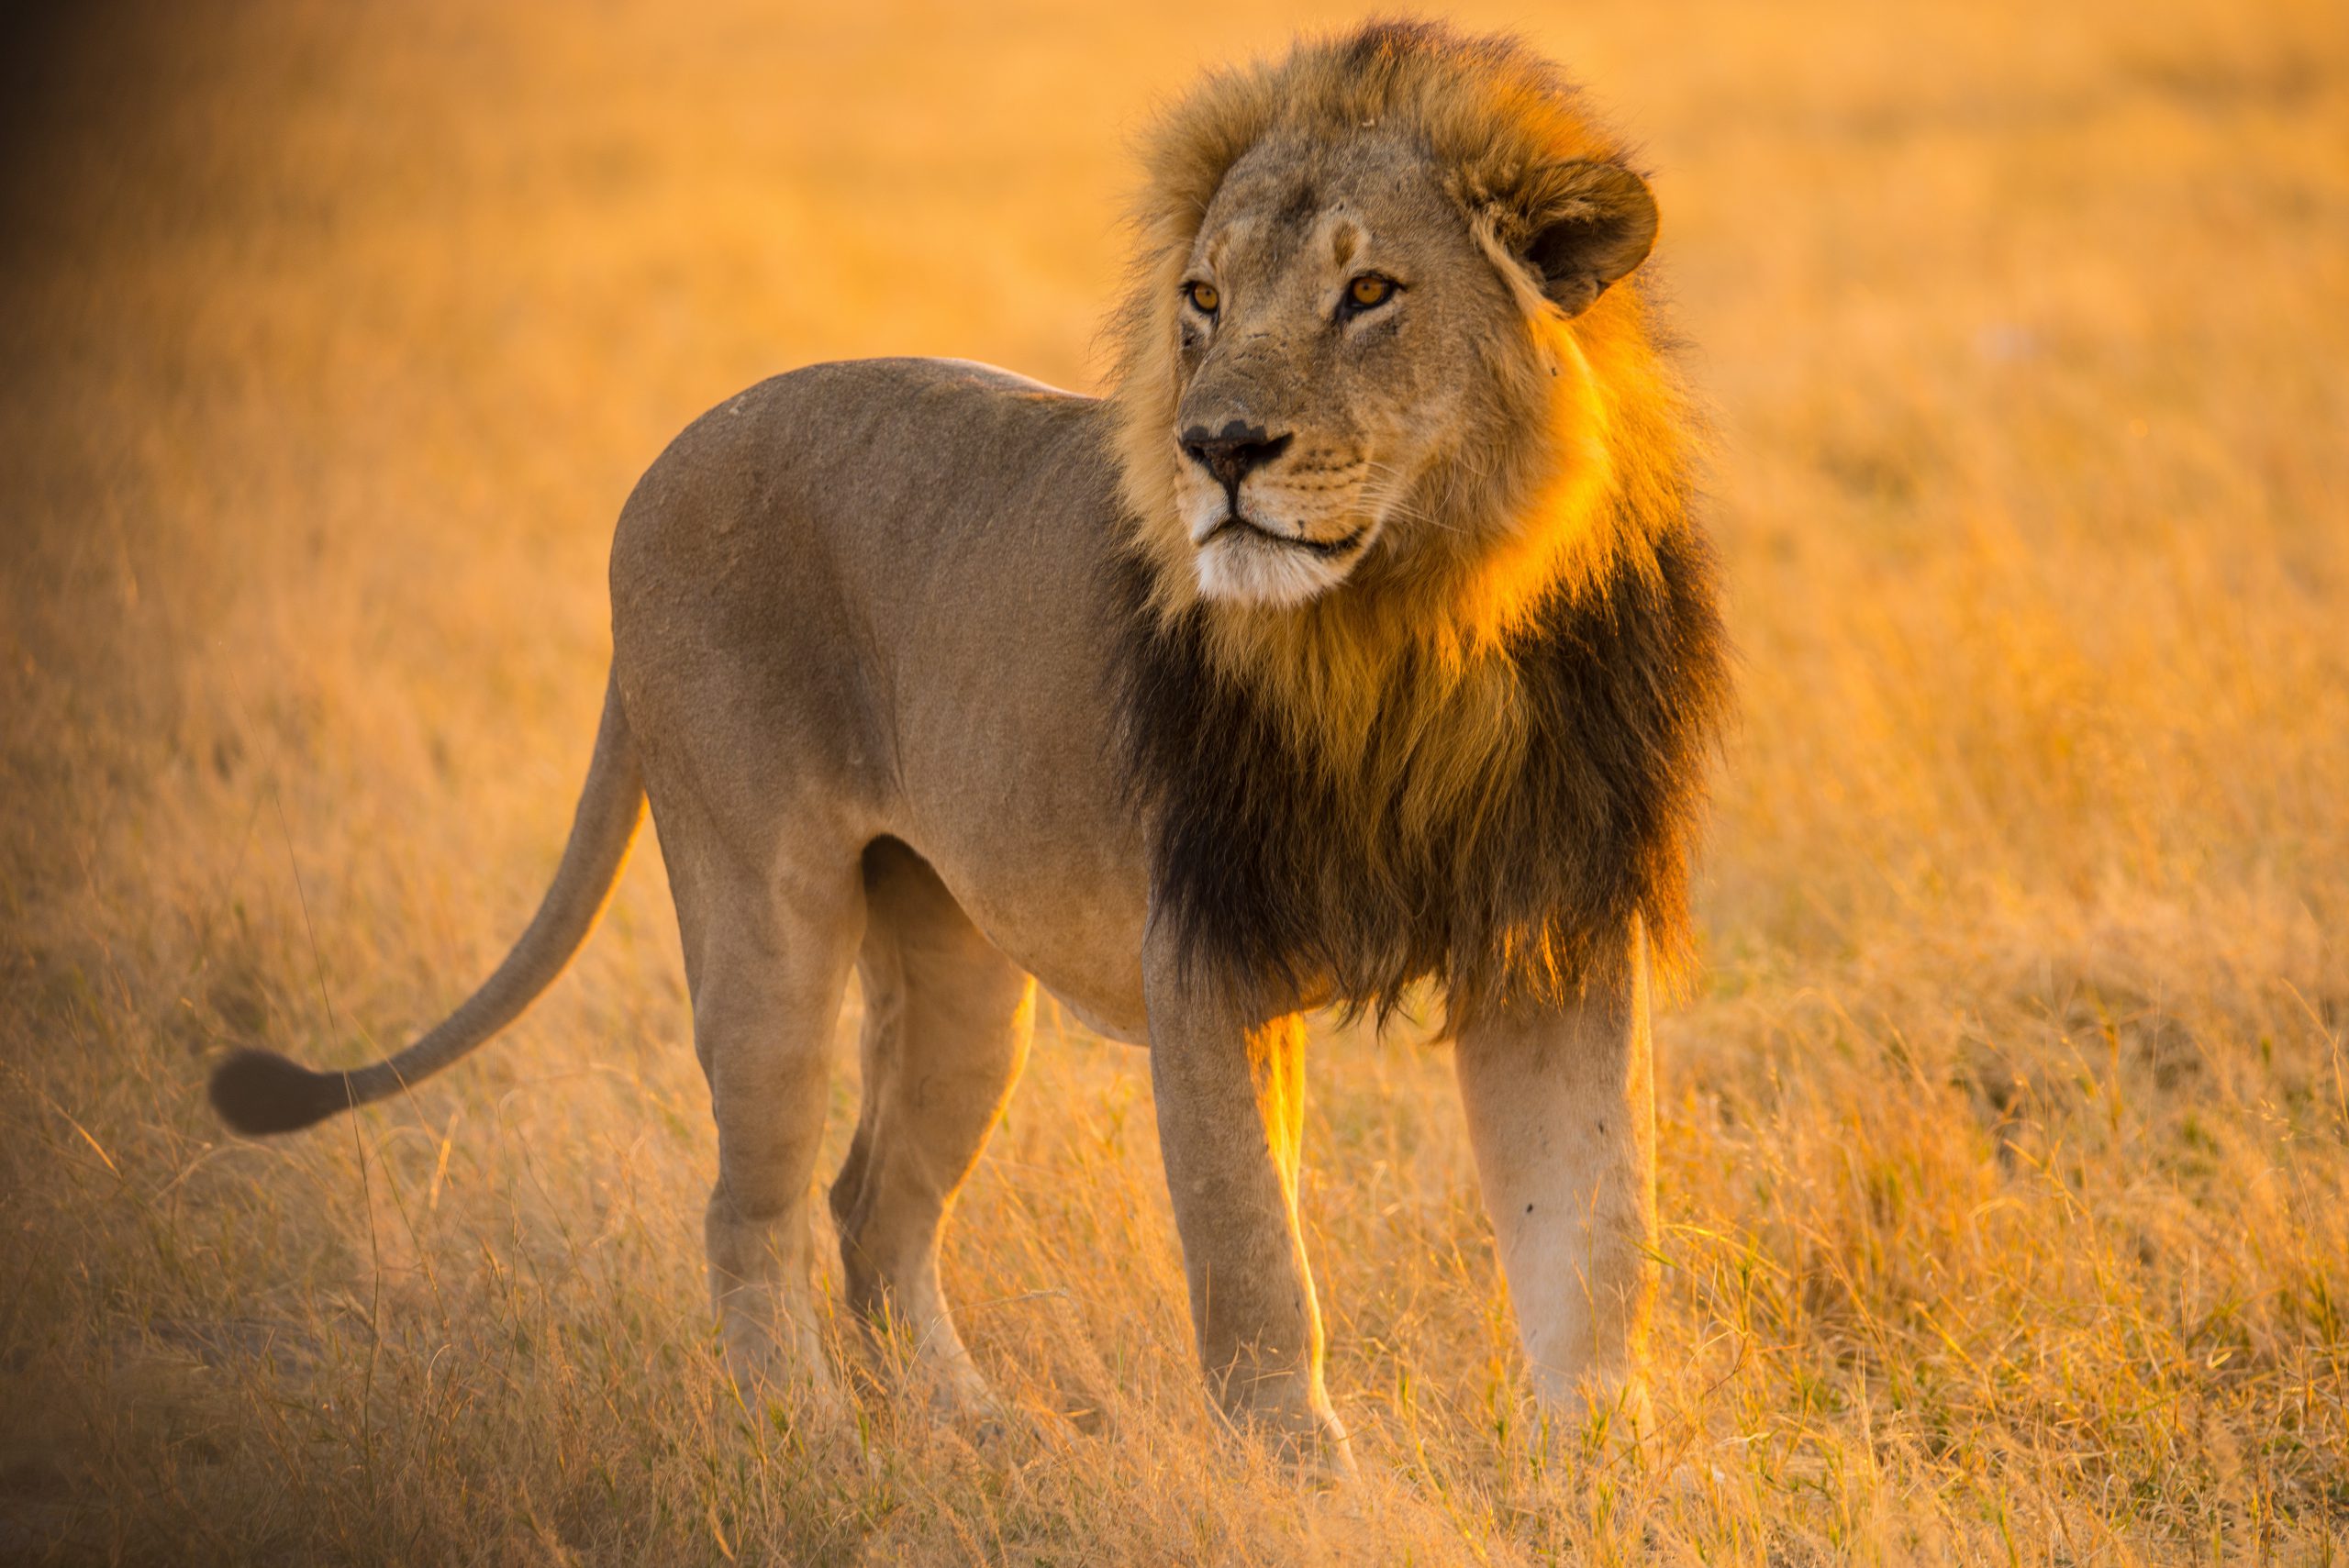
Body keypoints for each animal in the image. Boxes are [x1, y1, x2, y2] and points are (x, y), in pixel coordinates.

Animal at [211, 21, 1738, 1473]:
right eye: (1204, 300)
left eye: (1371, 295)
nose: (1215, 447)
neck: (1418, 627)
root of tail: (662, 460)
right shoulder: (1205, 957)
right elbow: (1253, 1257)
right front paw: (1308, 1476)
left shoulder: (1554, 944)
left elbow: (1594, 1237)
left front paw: (1601, 1468)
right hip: (764, 923)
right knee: (751, 1209)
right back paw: (817, 1451)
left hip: (957, 976)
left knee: (872, 1206)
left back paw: (976, 1429)